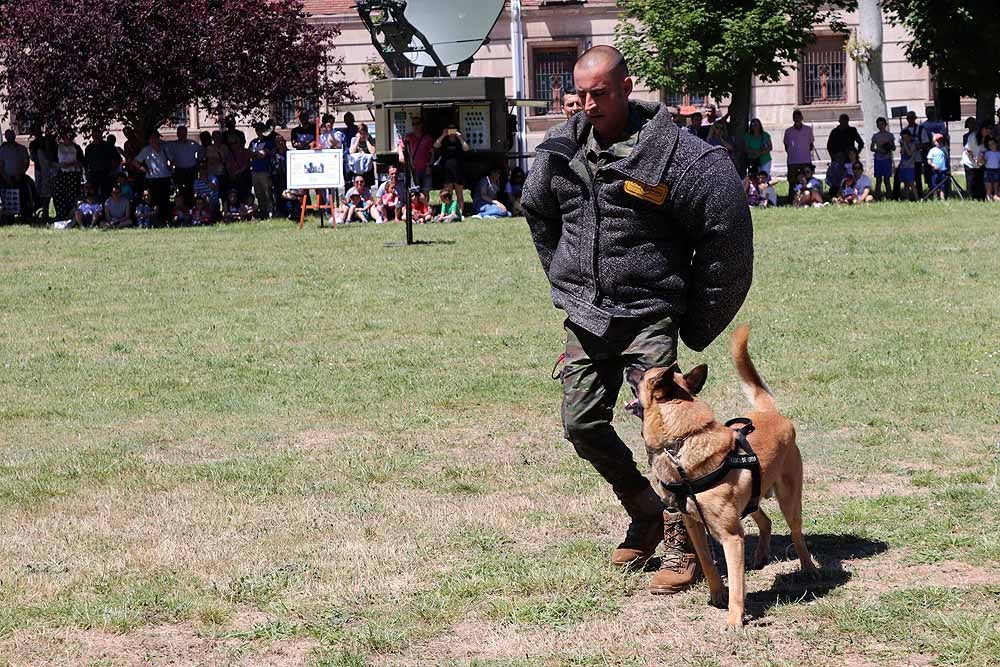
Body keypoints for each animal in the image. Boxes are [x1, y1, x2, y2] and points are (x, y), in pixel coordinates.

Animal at [636, 326, 816, 628]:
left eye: (642, 375)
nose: (630, 367)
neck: (682, 443)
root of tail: (771, 412)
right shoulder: (695, 524)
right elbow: (708, 563)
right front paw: (717, 595)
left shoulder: (732, 537)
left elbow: (737, 583)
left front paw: (734, 618)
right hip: (751, 499)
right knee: (766, 521)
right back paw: (759, 557)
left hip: (789, 499)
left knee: (796, 533)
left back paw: (809, 568)